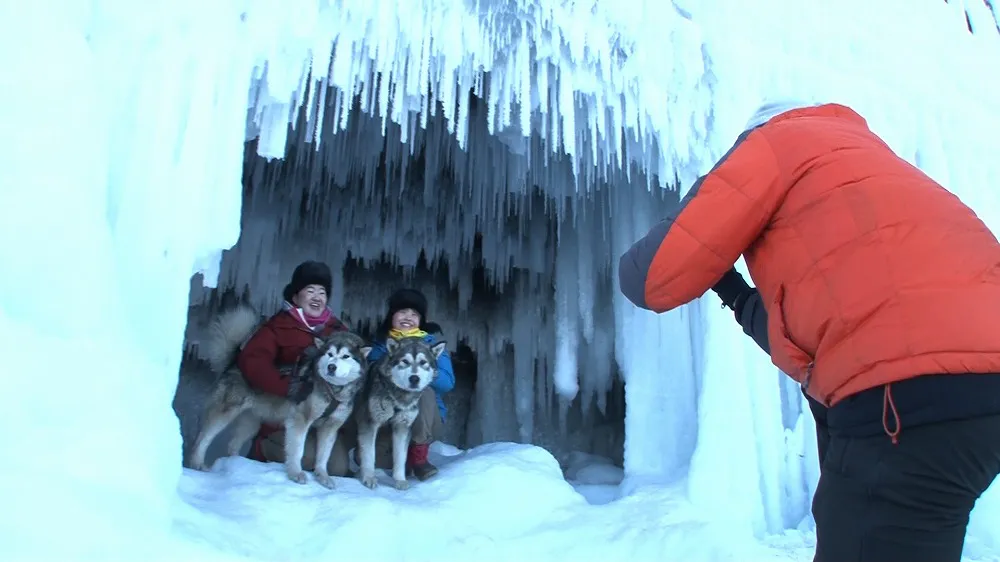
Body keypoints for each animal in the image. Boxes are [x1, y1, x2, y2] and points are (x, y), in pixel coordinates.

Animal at [186, 304, 370, 488]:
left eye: (346, 356)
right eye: (329, 354)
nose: (331, 367)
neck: (333, 390)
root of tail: (234, 362)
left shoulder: (330, 427)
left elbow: (324, 457)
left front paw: (323, 477)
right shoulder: (299, 420)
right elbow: (298, 450)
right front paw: (296, 473)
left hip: (251, 422)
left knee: (233, 444)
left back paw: (236, 465)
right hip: (224, 414)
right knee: (201, 440)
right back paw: (197, 464)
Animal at [354, 334, 444, 488]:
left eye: (423, 362)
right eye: (405, 361)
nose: (414, 378)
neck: (397, 397)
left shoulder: (402, 426)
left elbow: (400, 457)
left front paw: (400, 480)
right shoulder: (369, 423)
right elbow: (369, 455)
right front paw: (369, 477)